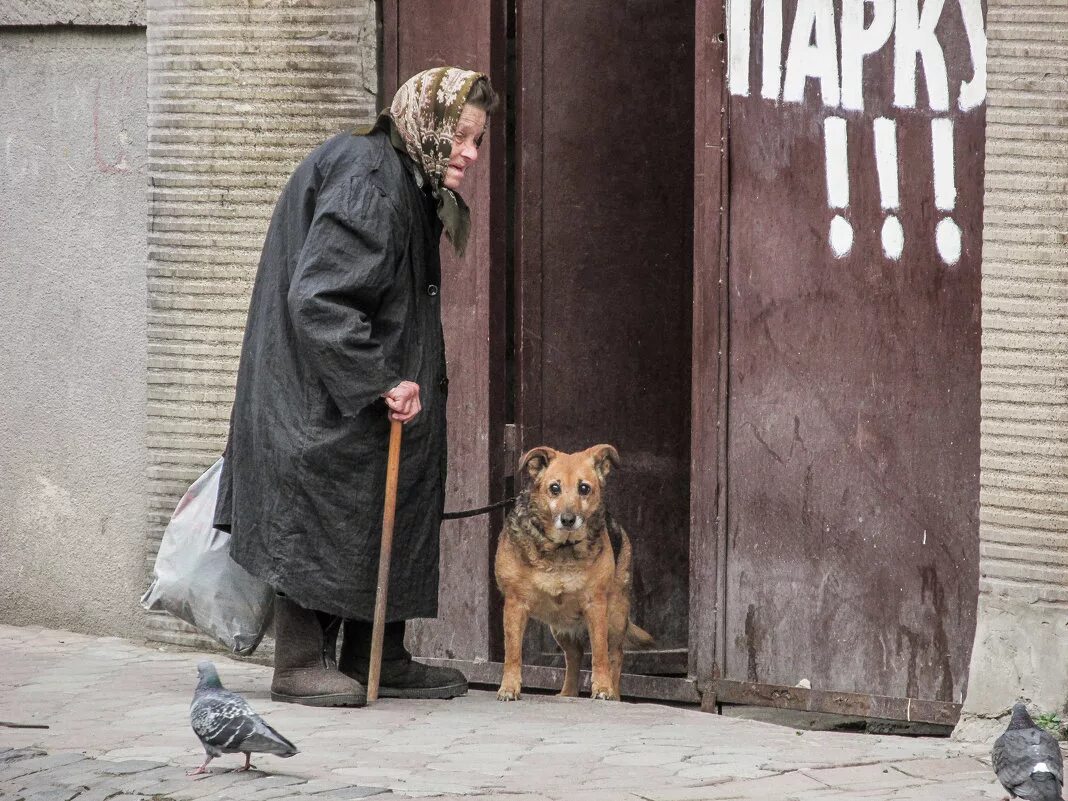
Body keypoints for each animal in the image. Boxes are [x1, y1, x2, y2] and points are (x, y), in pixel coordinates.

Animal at [495, 446, 653, 700]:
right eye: (554, 488)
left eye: (584, 488)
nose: (568, 519)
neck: (561, 547)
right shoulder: (515, 605)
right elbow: (513, 653)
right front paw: (509, 687)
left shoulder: (596, 605)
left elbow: (599, 653)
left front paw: (602, 688)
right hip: (560, 624)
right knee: (574, 654)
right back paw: (568, 693)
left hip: (615, 614)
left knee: (615, 655)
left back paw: (614, 694)